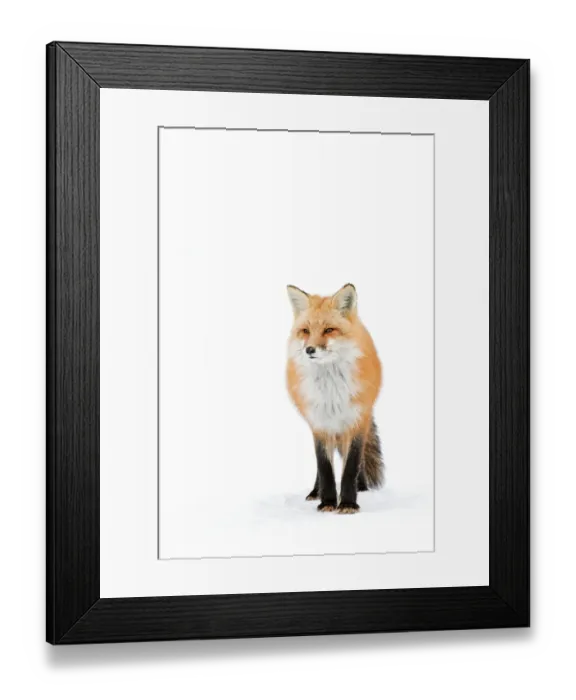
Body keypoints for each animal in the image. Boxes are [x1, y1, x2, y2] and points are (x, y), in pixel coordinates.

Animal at [286, 283, 384, 514]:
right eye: (306, 331)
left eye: (329, 330)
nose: (309, 349)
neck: (331, 391)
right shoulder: (320, 423)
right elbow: (324, 468)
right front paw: (328, 501)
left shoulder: (357, 420)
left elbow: (351, 466)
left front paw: (348, 503)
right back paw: (315, 492)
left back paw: (361, 486)